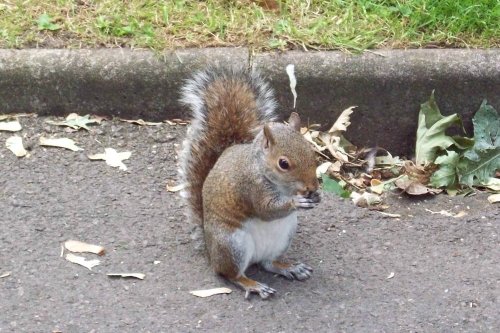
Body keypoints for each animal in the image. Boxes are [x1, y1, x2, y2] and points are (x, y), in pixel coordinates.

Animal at [180, 65, 320, 298]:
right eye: (283, 164)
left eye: (312, 152)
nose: (312, 186)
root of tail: (210, 250)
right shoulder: (250, 188)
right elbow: (266, 210)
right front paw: (296, 202)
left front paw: (317, 197)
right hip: (232, 245)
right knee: (230, 274)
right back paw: (252, 284)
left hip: (283, 237)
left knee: (268, 263)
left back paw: (288, 267)